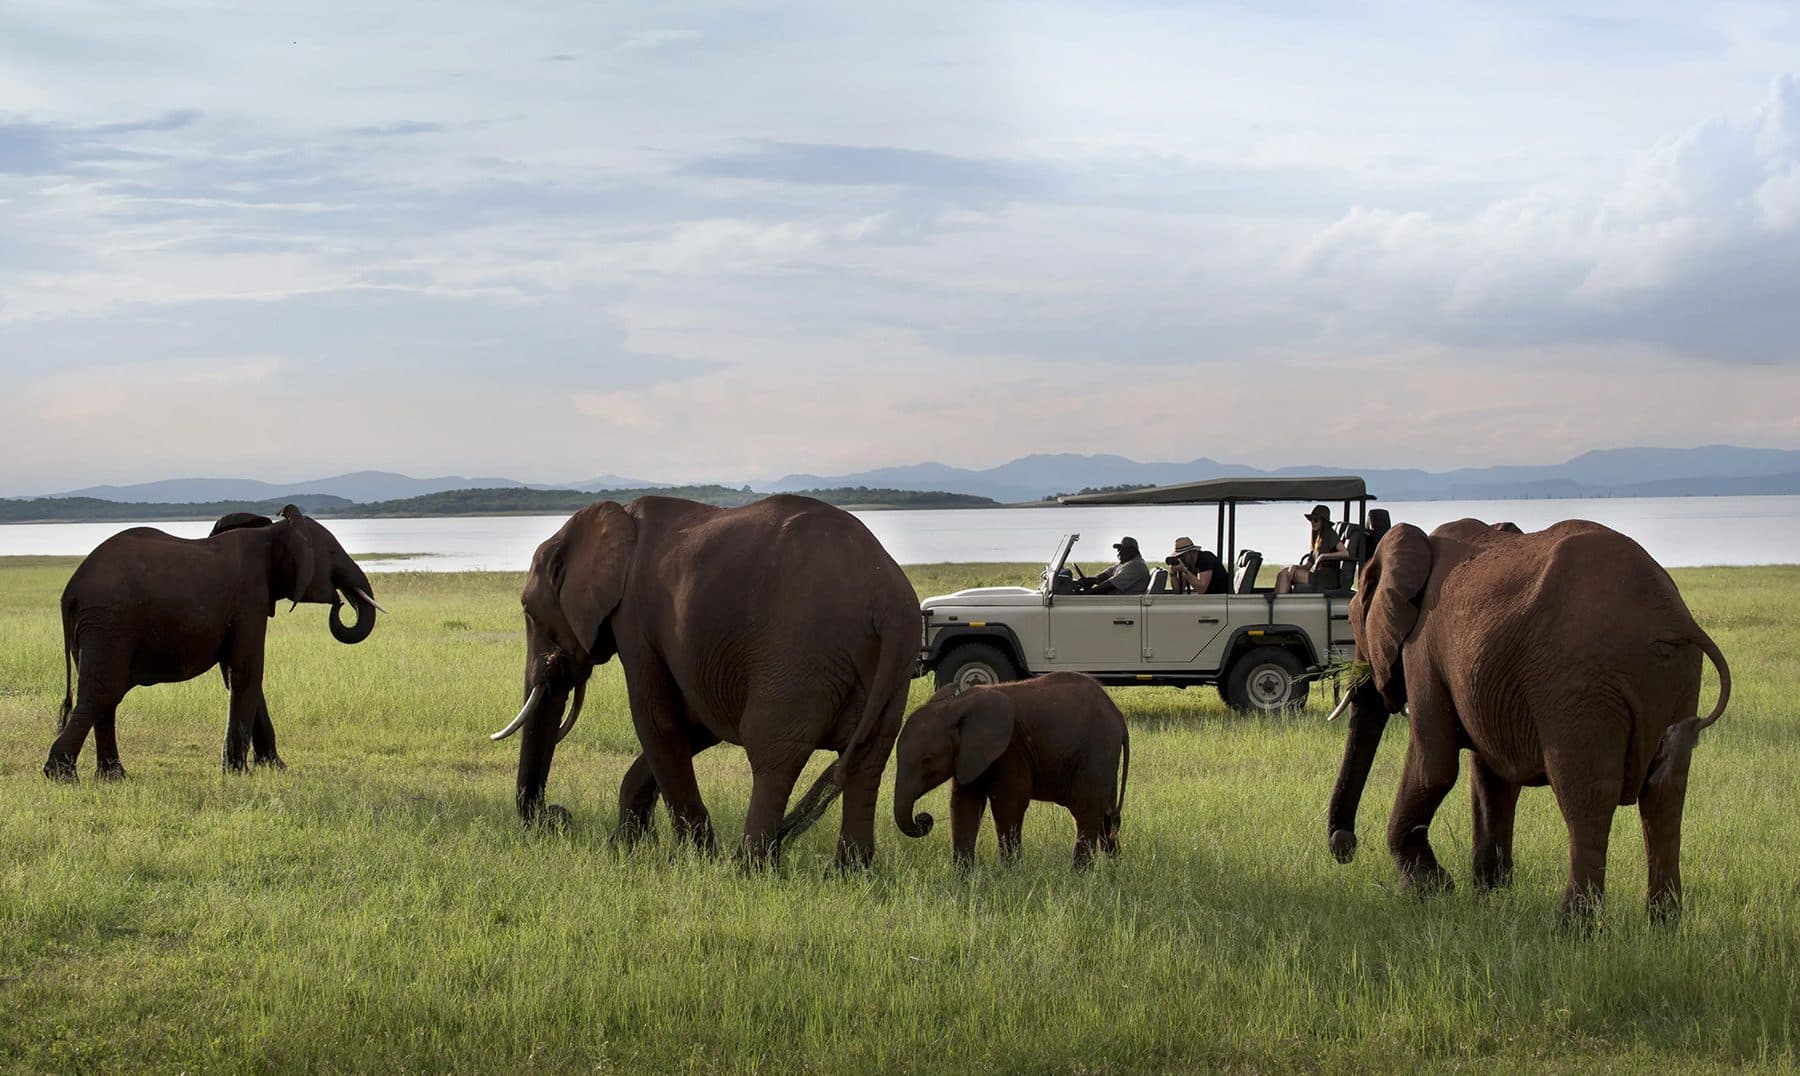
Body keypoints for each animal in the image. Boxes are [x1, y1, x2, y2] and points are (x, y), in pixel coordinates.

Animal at [45, 505, 382, 780]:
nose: (340, 603)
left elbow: (237, 673)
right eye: (333, 554)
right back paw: (62, 776)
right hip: (109, 624)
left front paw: (274, 767)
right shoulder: (249, 597)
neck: (273, 531)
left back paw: (113, 777)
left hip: (99, 628)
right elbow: (246, 669)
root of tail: (69, 593)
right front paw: (237, 772)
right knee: (102, 691)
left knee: (104, 697)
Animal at [489, 494, 921, 868]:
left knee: (773, 754)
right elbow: (695, 724)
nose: (555, 817)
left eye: (527, 611)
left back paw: (747, 868)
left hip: (802, 653)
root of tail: (888, 598)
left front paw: (694, 858)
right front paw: (627, 847)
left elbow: (656, 720)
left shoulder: (635, 619)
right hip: (889, 668)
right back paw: (848, 872)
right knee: (868, 759)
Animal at [892, 672, 1129, 869]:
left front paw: (1010, 873)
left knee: (1085, 810)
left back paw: (1079, 874)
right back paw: (1113, 869)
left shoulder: (1010, 750)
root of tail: (1118, 715)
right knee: (1106, 814)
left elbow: (1007, 805)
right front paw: (963, 877)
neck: (956, 705)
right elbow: (963, 804)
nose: (923, 819)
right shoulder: (969, 754)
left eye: (927, 760)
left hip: (1097, 749)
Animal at [1324, 518, 1730, 925]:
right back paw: (1663, 926)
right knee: (1665, 792)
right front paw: (1490, 897)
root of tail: (1670, 619)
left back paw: (1572, 928)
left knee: (1586, 794)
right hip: (1676, 678)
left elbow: (1434, 765)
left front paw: (1431, 891)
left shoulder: (1423, 649)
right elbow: (1492, 779)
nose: (1344, 847)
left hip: (1580, 685)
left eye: (1354, 618)